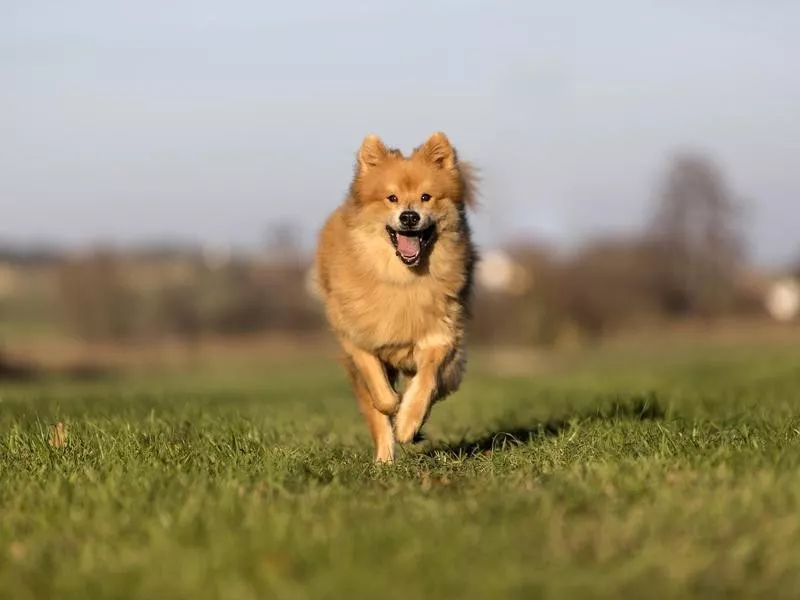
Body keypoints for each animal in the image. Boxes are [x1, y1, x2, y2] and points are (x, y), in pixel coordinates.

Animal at [312, 131, 476, 462]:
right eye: (392, 198)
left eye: (426, 197)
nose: (409, 217)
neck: (402, 279)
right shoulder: (357, 337)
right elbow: (380, 392)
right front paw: (393, 407)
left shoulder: (440, 334)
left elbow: (426, 381)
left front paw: (409, 422)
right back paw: (384, 460)